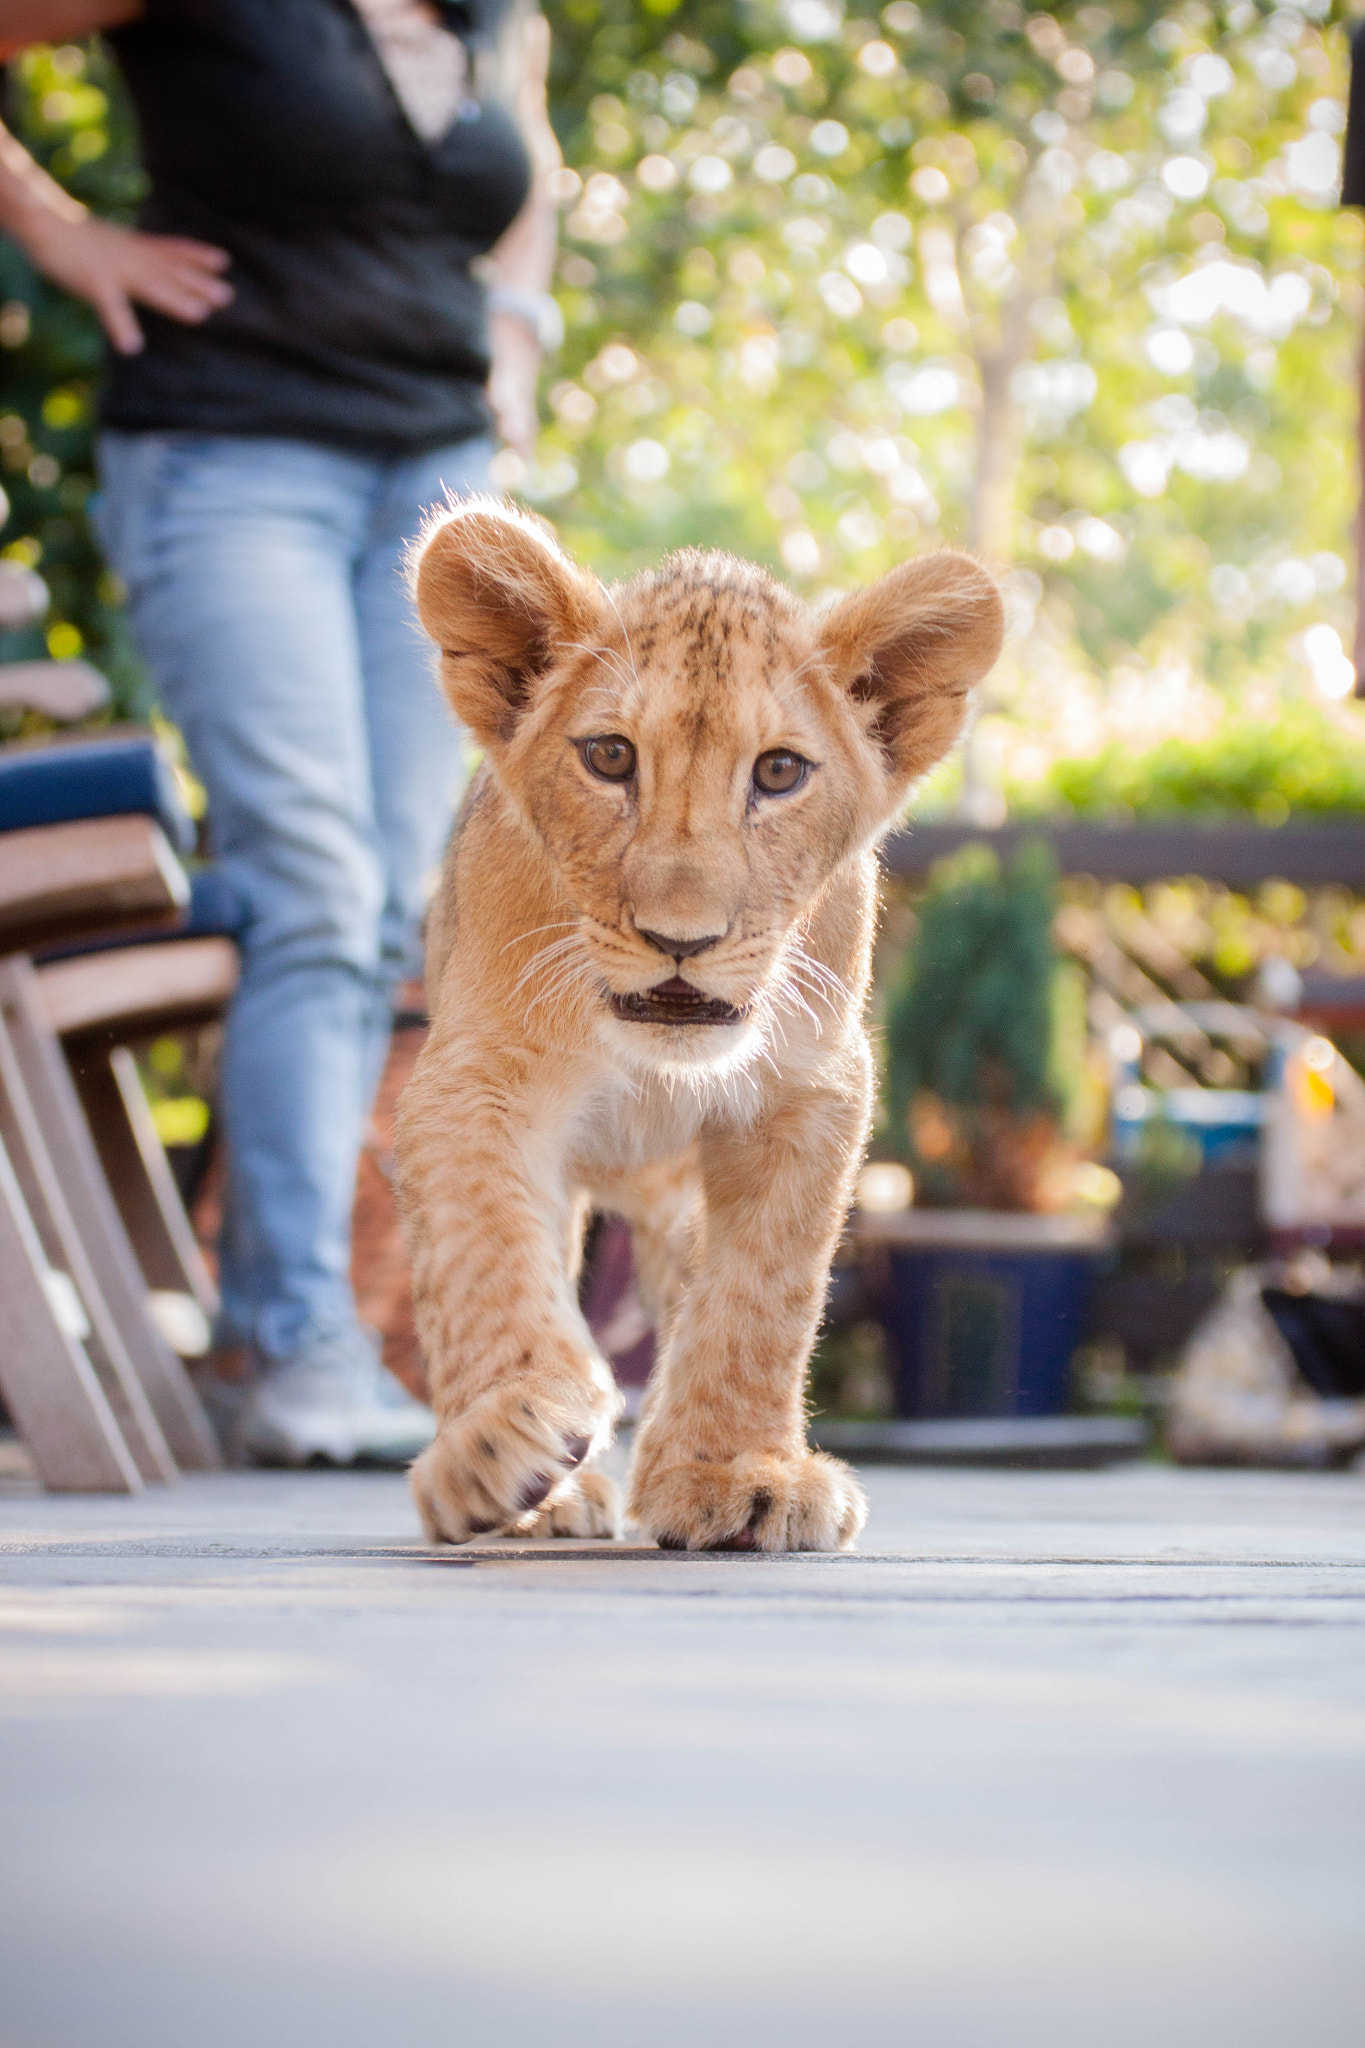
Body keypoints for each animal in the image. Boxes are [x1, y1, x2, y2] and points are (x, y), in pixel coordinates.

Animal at [397, 501, 1003, 1552]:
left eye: (779, 772)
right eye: (608, 757)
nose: (681, 938)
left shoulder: (810, 1090)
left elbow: (763, 1293)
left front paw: (736, 1475)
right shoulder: (474, 1078)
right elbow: (485, 1254)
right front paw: (506, 1443)